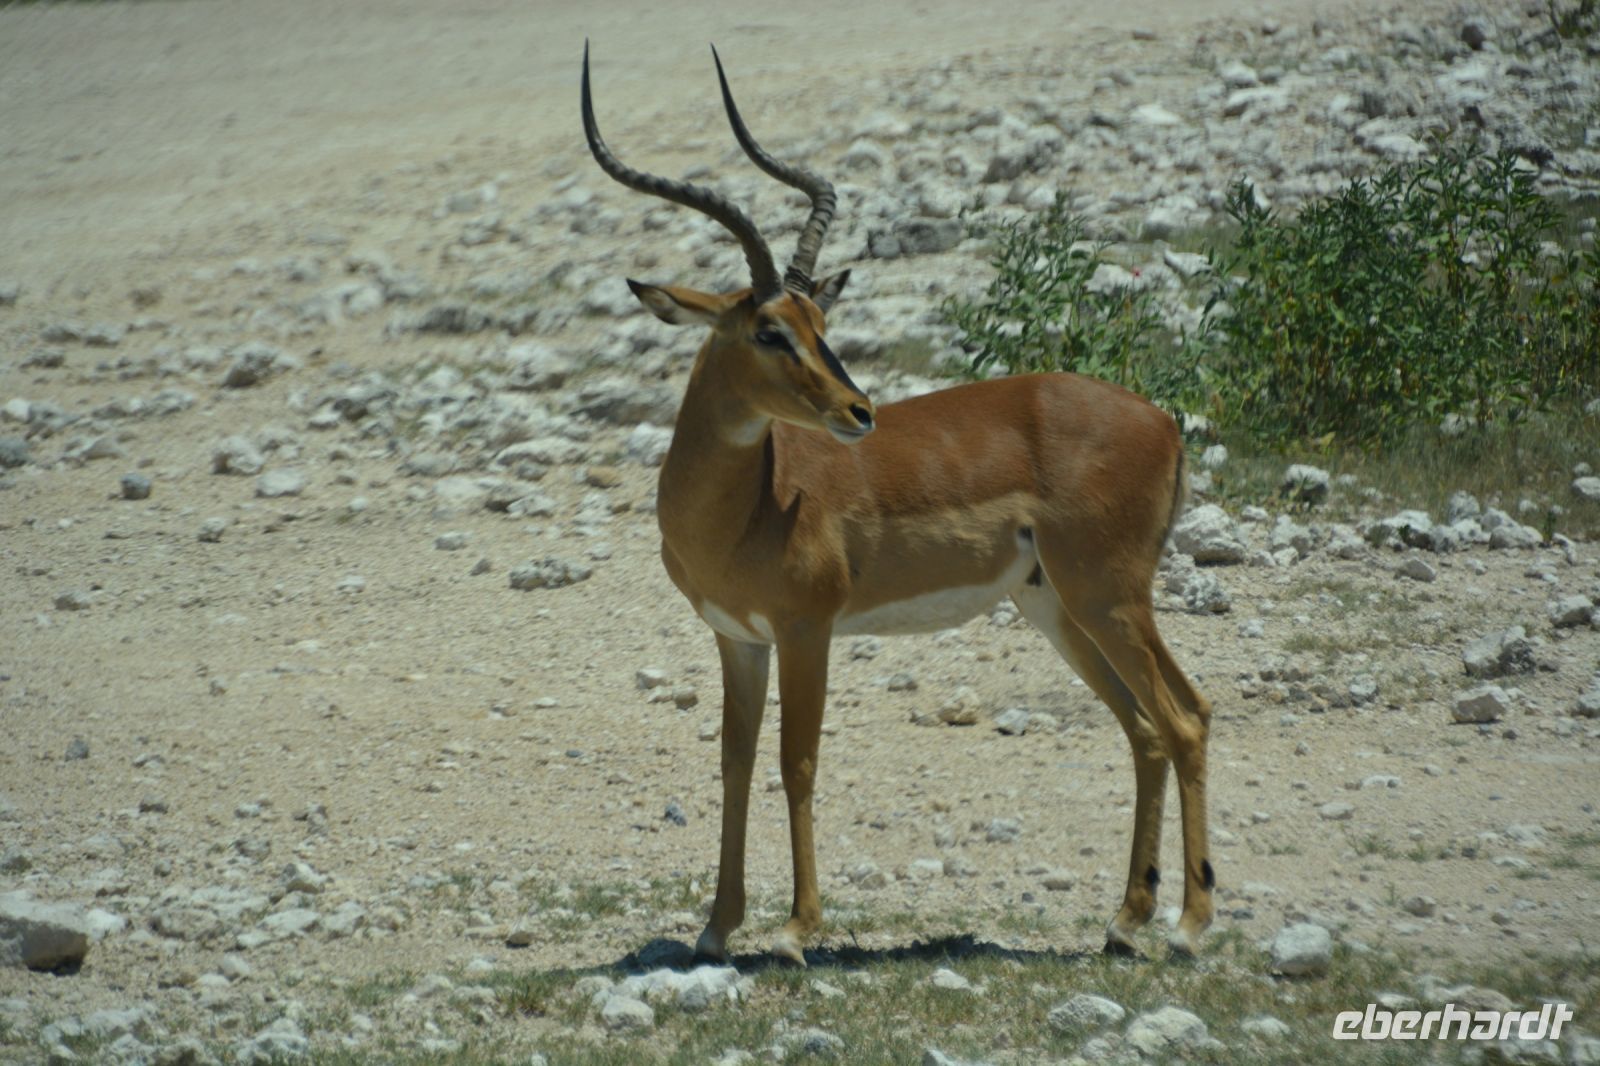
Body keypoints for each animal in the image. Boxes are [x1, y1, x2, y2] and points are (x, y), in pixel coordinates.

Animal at [580, 44, 1215, 962]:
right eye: (771, 329)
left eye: (819, 321)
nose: (859, 411)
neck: (748, 509)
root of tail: (1163, 421)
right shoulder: (738, 639)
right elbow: (734, 763)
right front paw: (716, 926)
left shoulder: (807, 630)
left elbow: (796, 762)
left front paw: (799, 928)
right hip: (1057, 608)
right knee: (1145, 729)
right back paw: (1127, 920)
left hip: (1109, 596)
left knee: (1186, 718)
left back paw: (1191, 926)